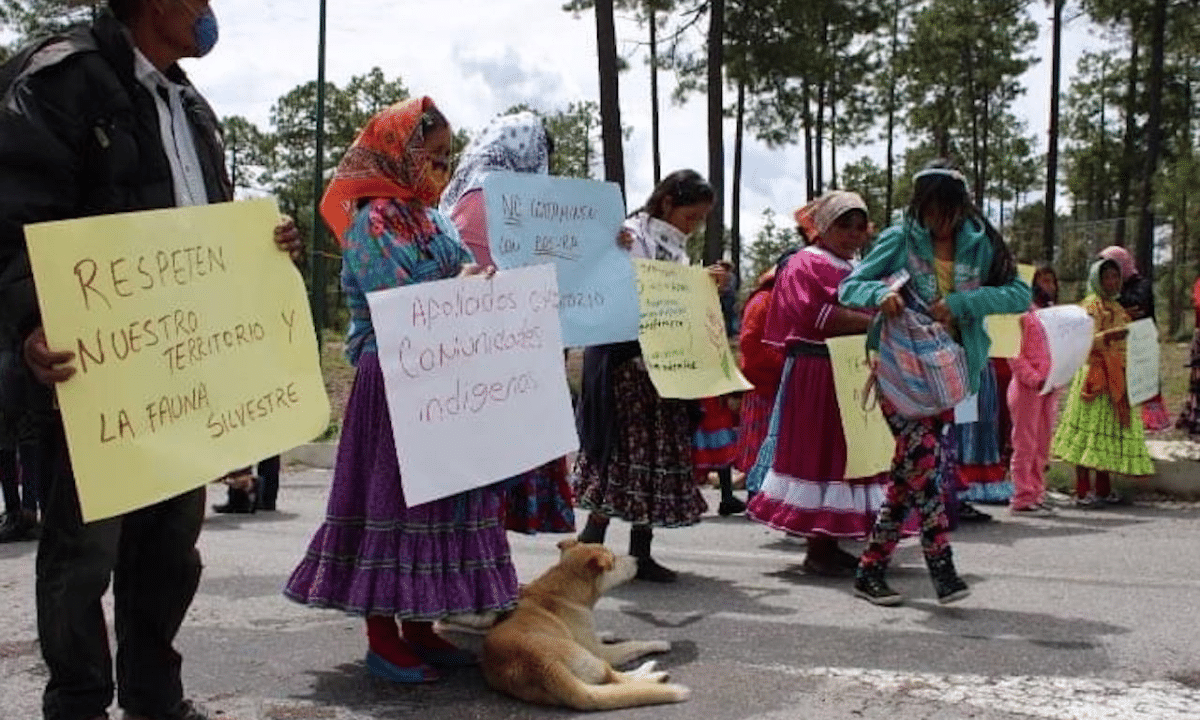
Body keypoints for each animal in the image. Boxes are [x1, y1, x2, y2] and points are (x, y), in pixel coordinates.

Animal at [480, 537, 691, 710]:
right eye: (614, 560)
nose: (638, 559)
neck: (563, 590)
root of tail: (544, 666)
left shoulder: (589, 639)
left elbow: (599, 635)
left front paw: (607, 633)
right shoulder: (601, 651)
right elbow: (633, 644)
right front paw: (659, 643)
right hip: (595, 660)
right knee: (616, 678)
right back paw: (653, 675)